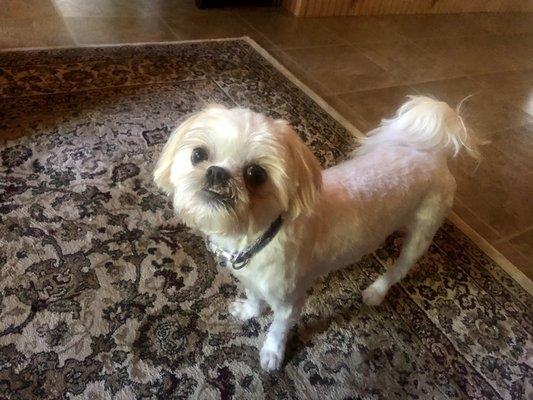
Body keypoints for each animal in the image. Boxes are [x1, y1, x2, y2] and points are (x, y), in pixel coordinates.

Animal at [153, 95, 478, 370]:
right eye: (198, 154)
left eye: (256, 174)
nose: (216, 172)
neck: (258, 235)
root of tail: (435, 156)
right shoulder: (251, 279)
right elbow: (255, 297)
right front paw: (248, 311)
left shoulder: (289, 302)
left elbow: (278, 329)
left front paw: (272, 355)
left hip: (422, 233)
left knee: (400, 267)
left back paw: (376, 290)